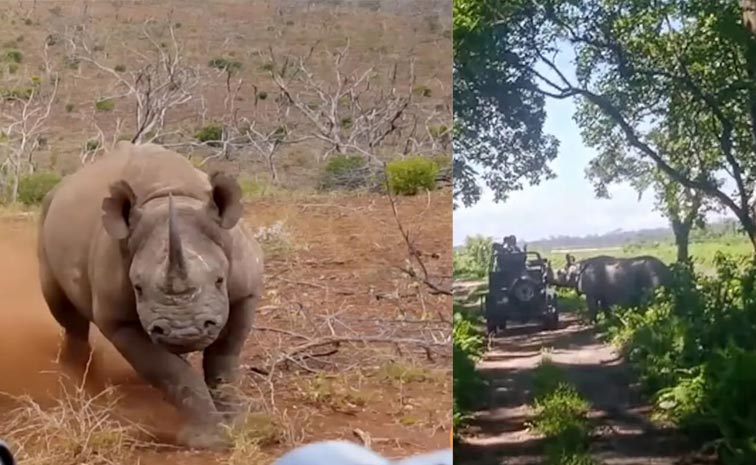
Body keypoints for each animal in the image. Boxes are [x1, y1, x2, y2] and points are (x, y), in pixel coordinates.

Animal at [37, 141, 264, 449]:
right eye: (138, 288)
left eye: (220, 280)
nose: (184, 332)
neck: (169, 196)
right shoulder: (119, 321)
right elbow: (170, 372)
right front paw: (208, 441)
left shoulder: (245, 293)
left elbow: (223, 359)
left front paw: (237, 425)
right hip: (44, 219)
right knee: (64, 311)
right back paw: (75, 379)